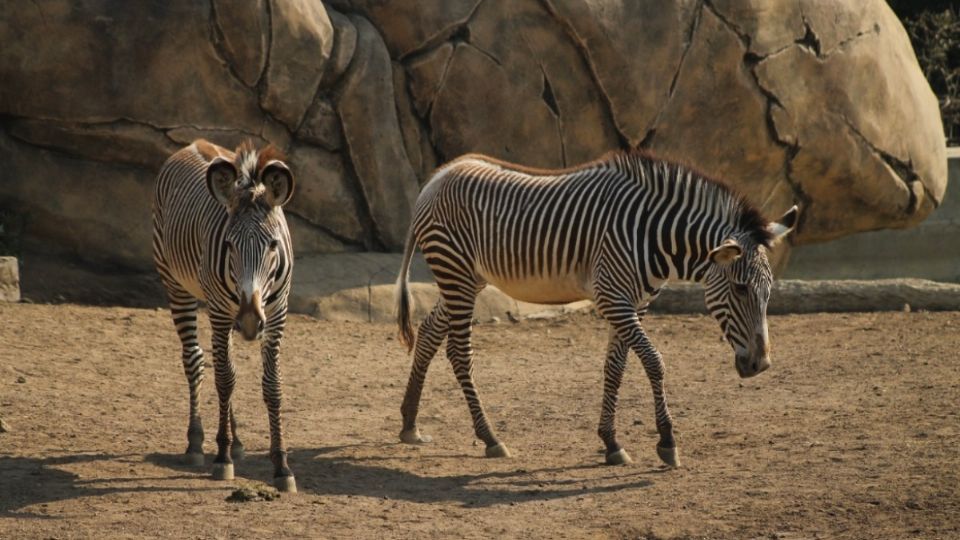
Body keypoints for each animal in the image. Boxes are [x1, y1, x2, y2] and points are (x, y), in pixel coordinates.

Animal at [151, 140, 296, 494]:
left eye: (273, 245)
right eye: (229, 245)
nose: (250, 321)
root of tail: (192, 144)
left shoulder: (277, 313)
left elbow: (272, 385)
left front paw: (282, 466)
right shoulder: (219, 311)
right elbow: (225, 380)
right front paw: (222, 457)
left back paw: (238, 440)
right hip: (177, 285)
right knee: (196, 360)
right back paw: (196, 443)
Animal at [394, 150, 800, 466]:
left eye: (769, 292)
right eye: (741, 288)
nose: (760, 365)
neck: (653, 234)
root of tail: (438, 176)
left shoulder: (634, 304)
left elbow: (615, 369)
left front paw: (611, 442)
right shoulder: (613, 299)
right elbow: (654, 361)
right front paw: (667, 441)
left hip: (467, 278)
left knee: (428, 332)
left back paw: (410, 424)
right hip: (456, 272)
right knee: (459, 353)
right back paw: (490, 437)